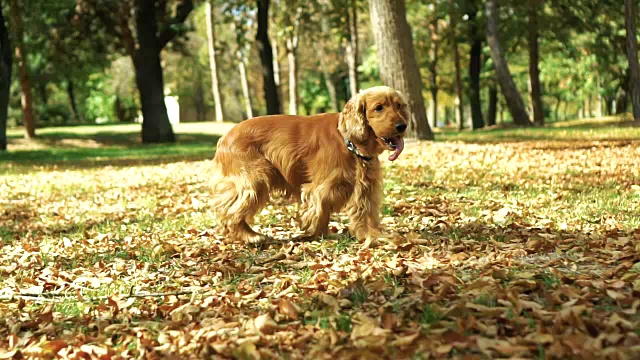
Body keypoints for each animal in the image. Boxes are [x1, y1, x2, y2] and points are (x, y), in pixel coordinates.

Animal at [210, 86, 410, 246]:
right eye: (379, 107)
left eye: (399, 106)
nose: (402, 126)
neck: (349, 142)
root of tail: (224, 138)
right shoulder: (322, 188)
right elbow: (321, 210)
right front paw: (319, 235)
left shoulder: (365, 186)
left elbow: (365, 213)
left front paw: (371, 235)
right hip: (255, 180)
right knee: (230, 213)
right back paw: (250, 236)